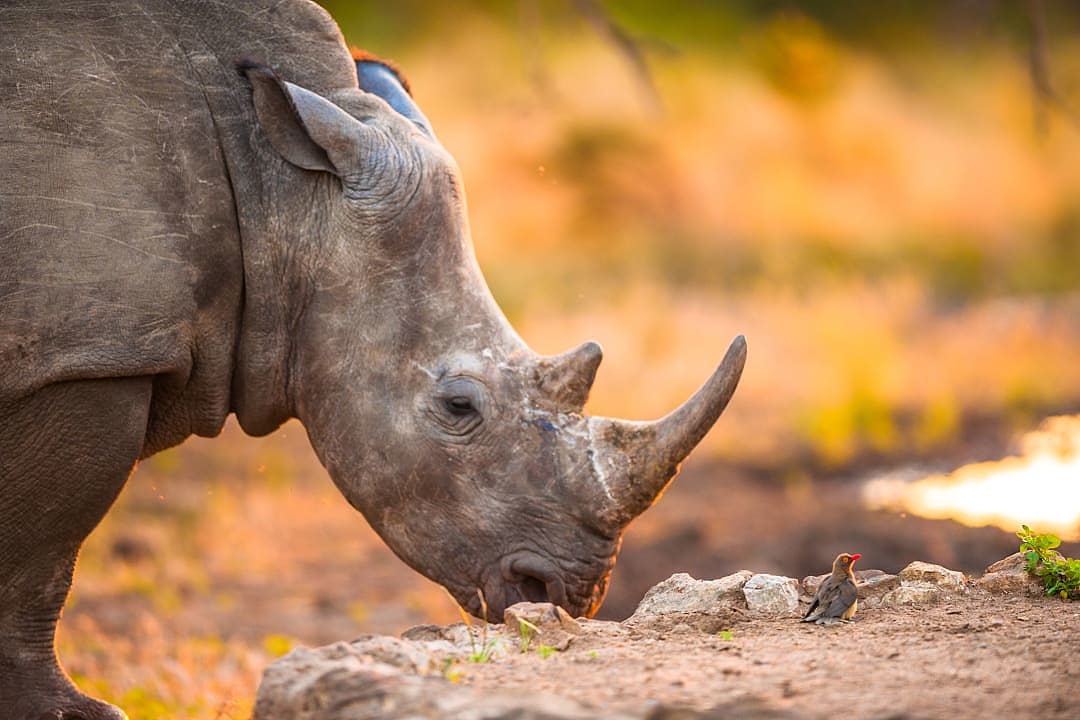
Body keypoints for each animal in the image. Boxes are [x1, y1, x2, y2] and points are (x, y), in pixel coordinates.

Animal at [0, 1, 745, 718]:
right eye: (458, 405)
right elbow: (41, 557)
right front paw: (74, 714)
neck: (283, 194)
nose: (566, 594)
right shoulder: (91, 352)